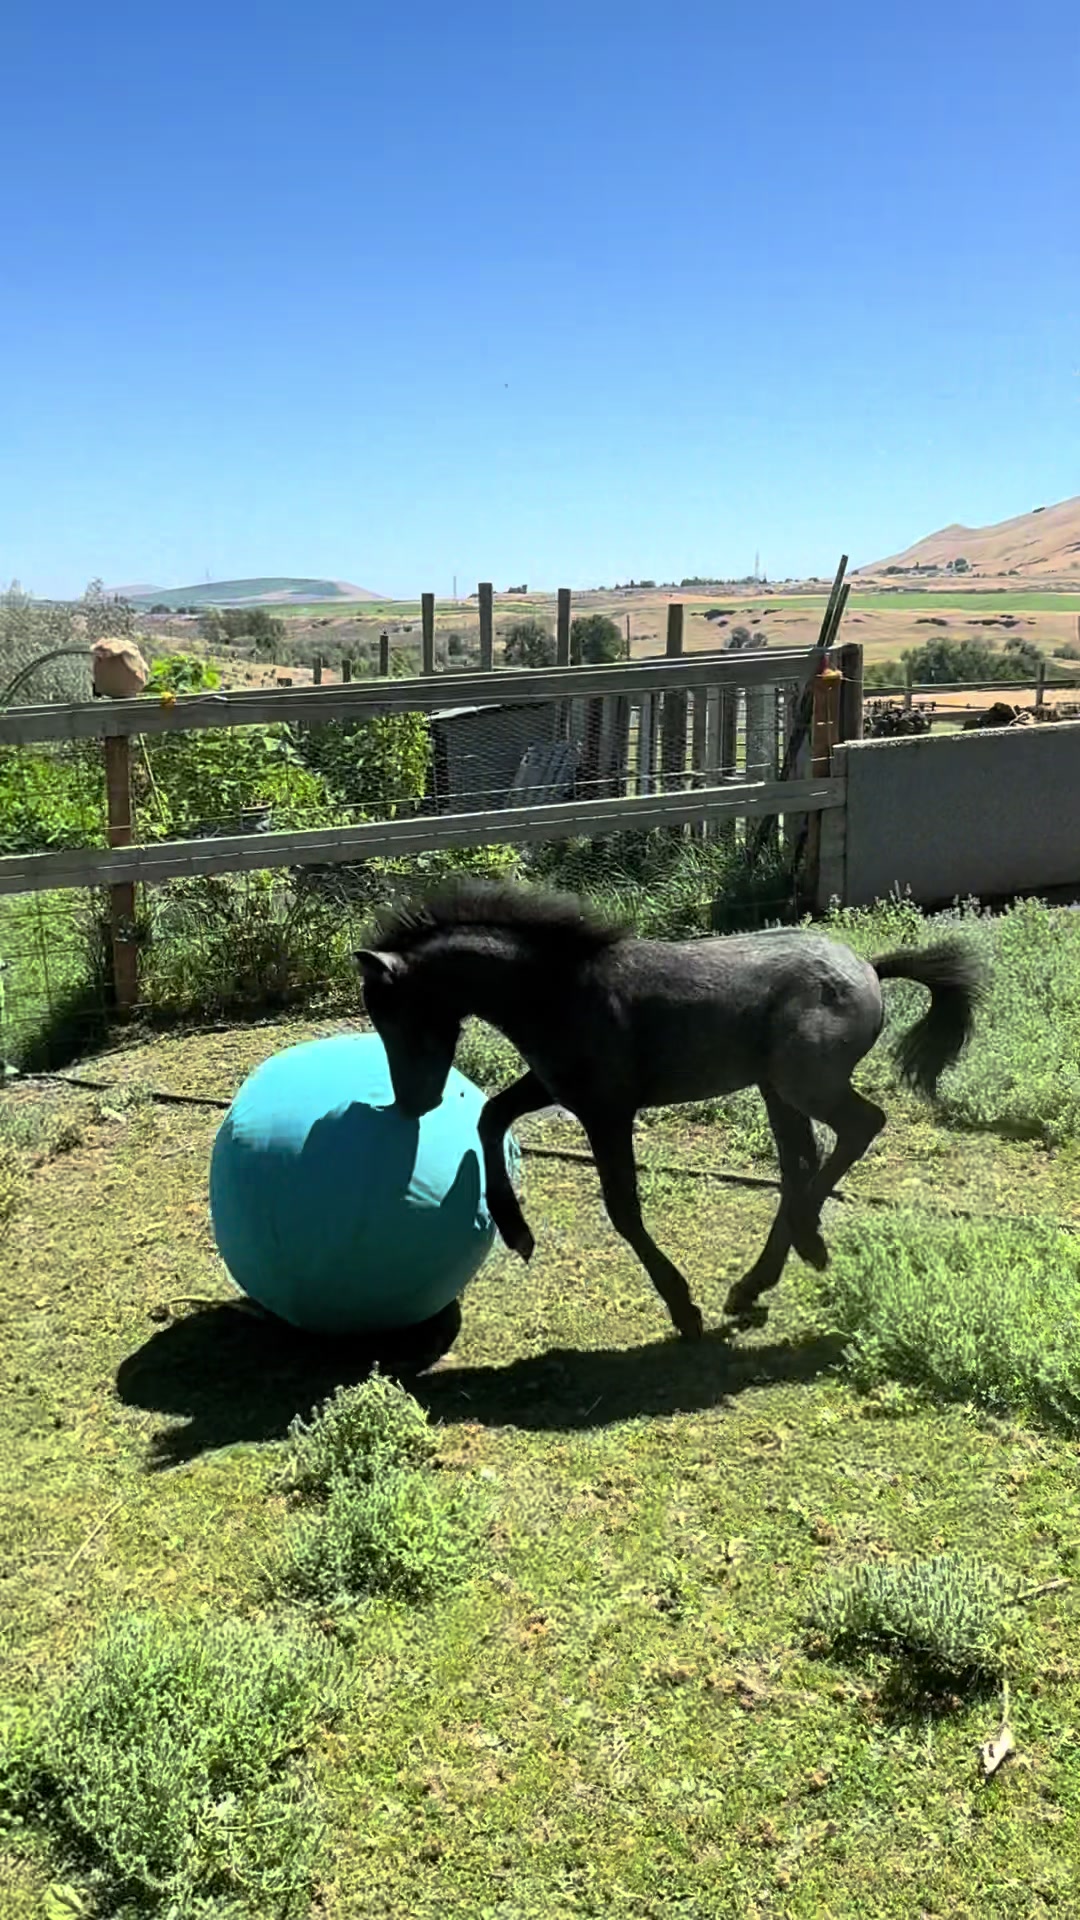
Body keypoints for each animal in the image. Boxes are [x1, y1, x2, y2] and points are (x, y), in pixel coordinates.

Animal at [356, 882, 984, 1340]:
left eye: (396, 1018)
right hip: (777, 1092)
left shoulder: (606, 1109)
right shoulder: (556, 1087)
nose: (413, 1103)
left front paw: (683, 1309)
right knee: (798, 1167)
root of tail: (870, 969)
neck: (559, 990)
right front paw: (517, 1233)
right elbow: (491, 1117)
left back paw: (807, 1243)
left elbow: (623, 1209)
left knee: (859, 1128)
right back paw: (755, 1282)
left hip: (805, 1086)